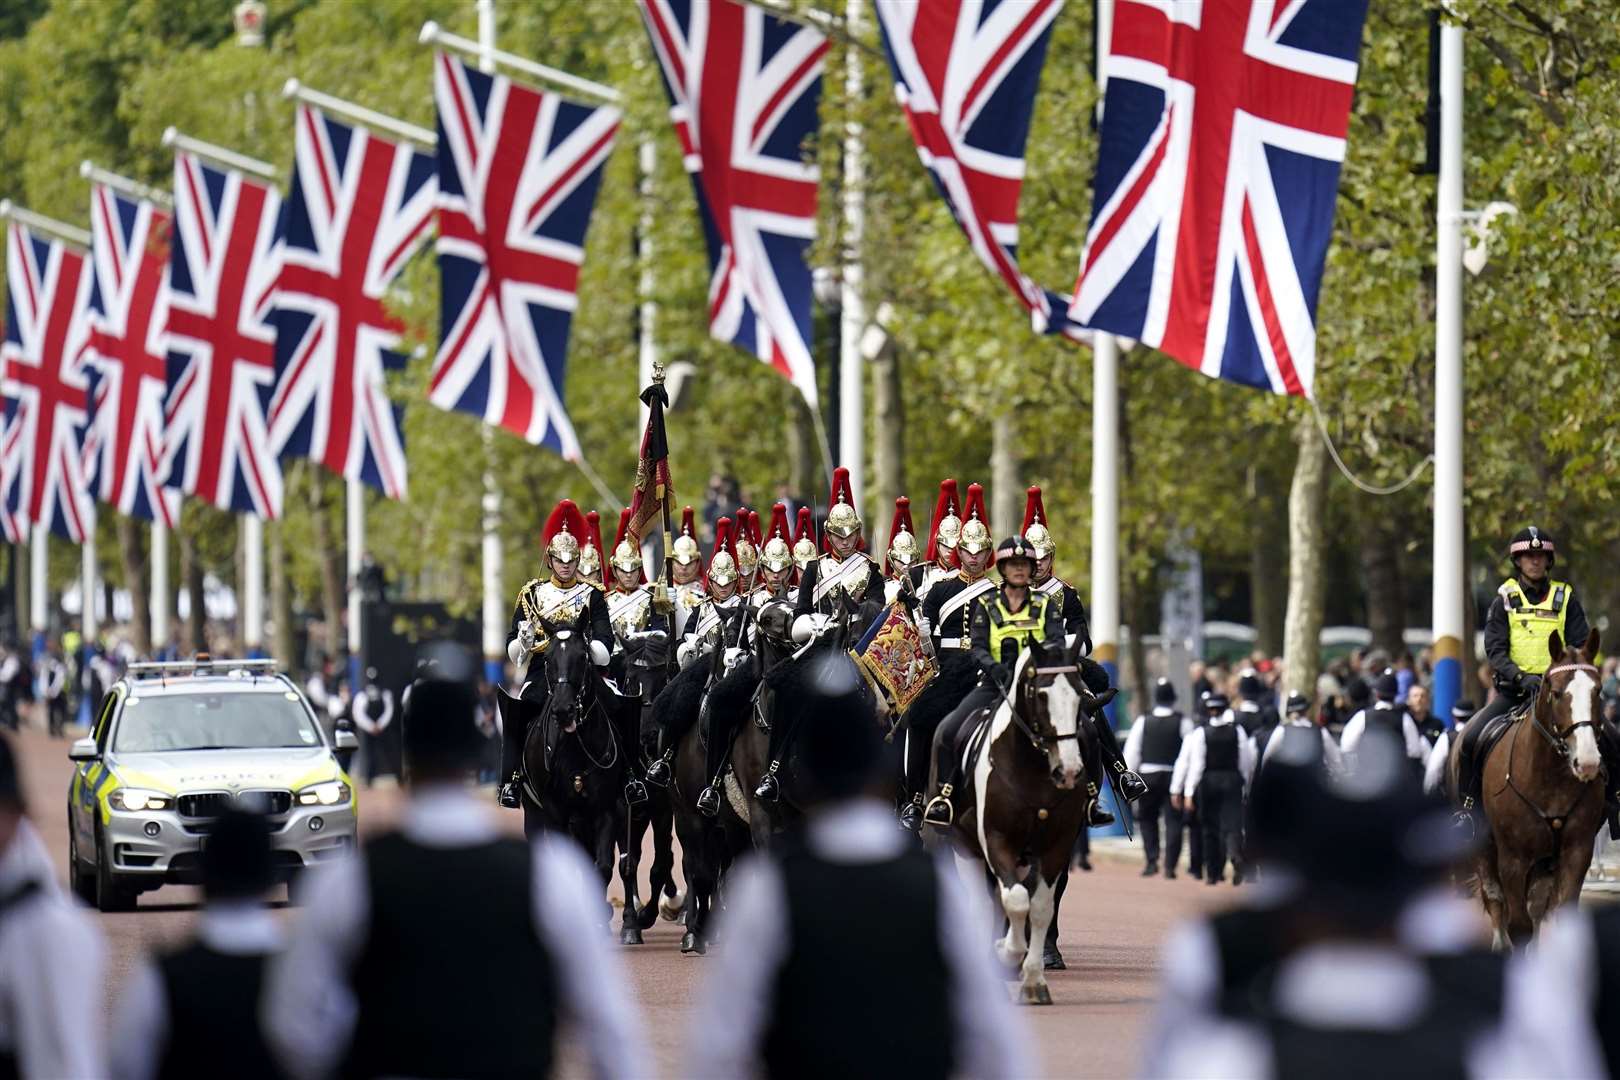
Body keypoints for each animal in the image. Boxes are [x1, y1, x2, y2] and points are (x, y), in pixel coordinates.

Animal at [939, 634, 1101, 1003]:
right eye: (1040, 695)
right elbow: (1012, 898)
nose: (1069, 770)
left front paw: (1034, 973)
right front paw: (1005, 953)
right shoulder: (995, 838)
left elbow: (1040, 903)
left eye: (1078, 698)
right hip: (960, 841)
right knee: (978, 899)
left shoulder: (1058, 844)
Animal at [1458, 628, 1607, 952]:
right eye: (1556, 692)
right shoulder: (1513, 858)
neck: (1550, 779)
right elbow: (1518, 925)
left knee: (1536, 909)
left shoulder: (1577, 850)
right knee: (1496, 902)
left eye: (1598, 691)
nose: (1588, 761)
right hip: (1484, 848)